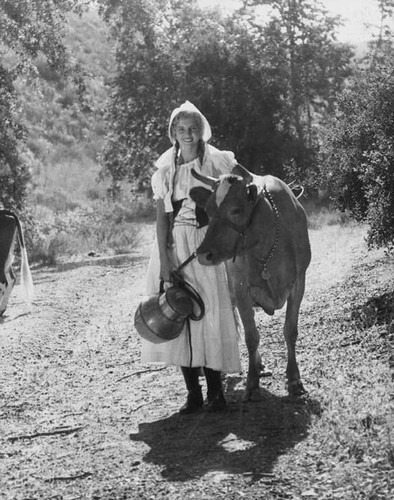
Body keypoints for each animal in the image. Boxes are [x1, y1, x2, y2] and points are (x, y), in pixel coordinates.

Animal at [190, 166, 310, 400]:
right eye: (208, 210)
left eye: (236, 210)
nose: (203, 254)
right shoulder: (241, 289)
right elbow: (251, 337)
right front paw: (252, 383)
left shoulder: (299, 283)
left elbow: (290, 331)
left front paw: (294, 379)